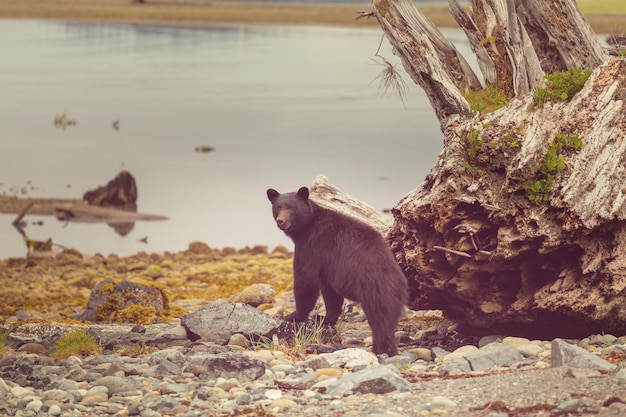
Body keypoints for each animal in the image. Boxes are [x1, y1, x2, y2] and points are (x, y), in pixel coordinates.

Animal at [264, 187, 404, 356]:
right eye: (278, 207)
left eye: (291, 207)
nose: (281, 221)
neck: (308, 226)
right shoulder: (329, 268)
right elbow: (330, 293)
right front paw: (325, 319)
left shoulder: (313, 244)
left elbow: (305, 278)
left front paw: (294, 315)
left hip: (375, 289)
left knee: (380, 321)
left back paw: (382, 349)